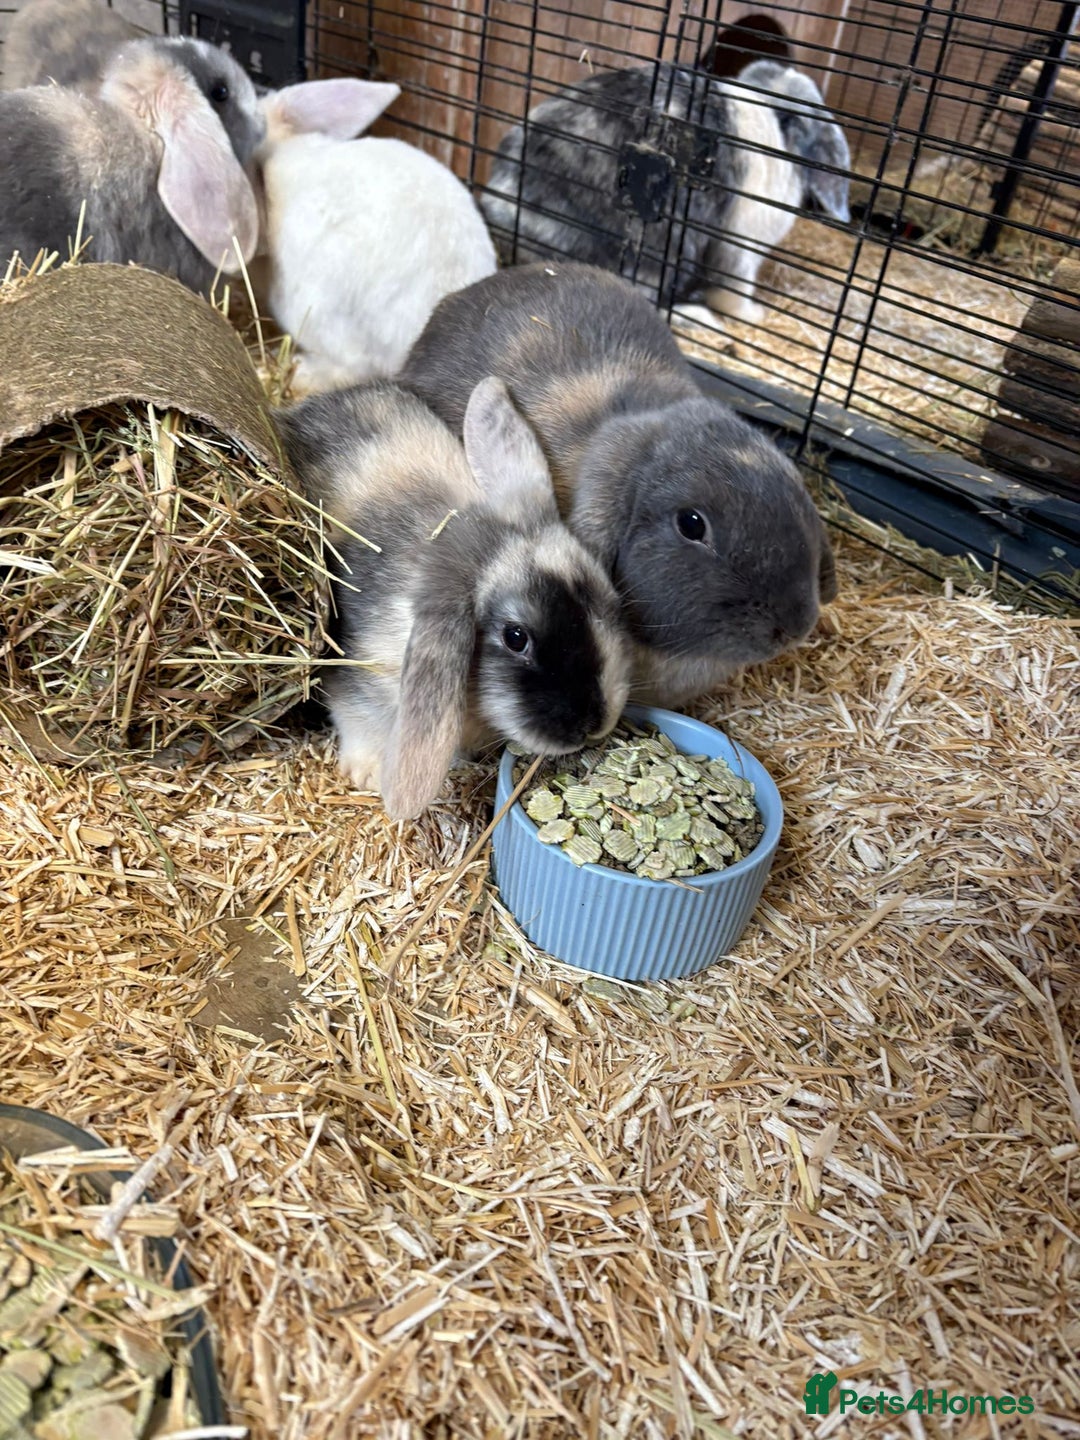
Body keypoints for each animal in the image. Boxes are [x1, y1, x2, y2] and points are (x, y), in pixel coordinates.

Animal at [276, 376, 631, 818]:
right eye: (516, 637)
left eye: (608, 602)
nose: (593, 725)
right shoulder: (356, 678)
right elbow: (357, 719)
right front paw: (368, 775)